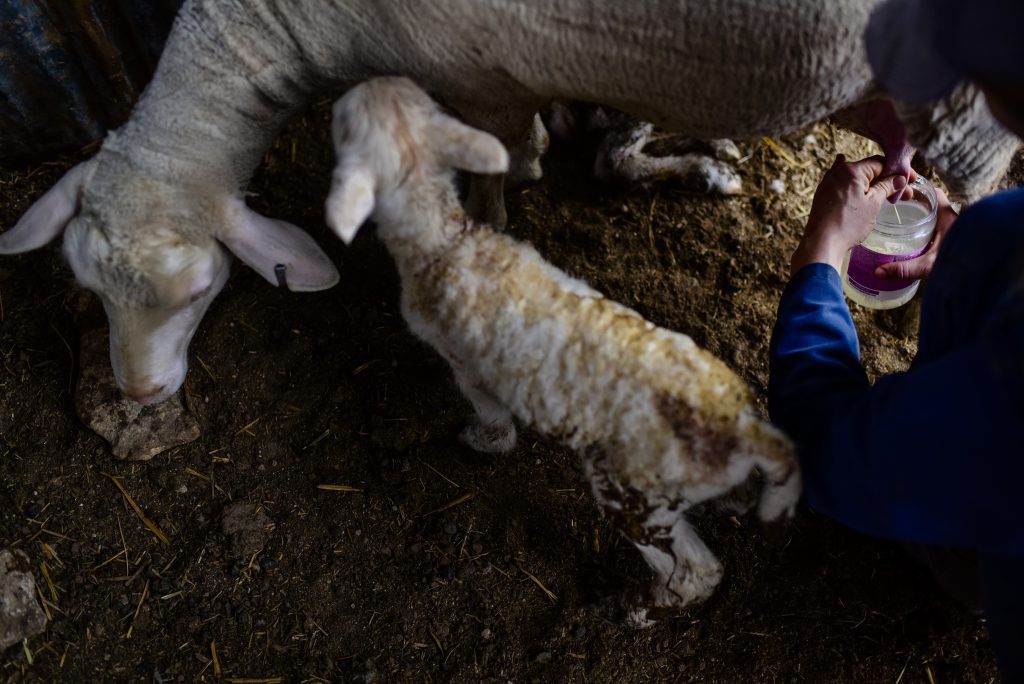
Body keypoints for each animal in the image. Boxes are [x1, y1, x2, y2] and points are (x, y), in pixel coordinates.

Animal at [4, 0, 1019, 405]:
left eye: (199, 291)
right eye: (85, 284)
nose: (138, 394)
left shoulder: (477, 83)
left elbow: (499, 182)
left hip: (971, 102)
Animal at [325, 76, 798, 626]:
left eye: (344, 123)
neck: (446, 238)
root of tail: (737, 427)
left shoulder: (464, 361)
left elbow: (492, 416)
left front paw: (480, 440)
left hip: (634, 496)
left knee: (694, 572)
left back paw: (634, 607)